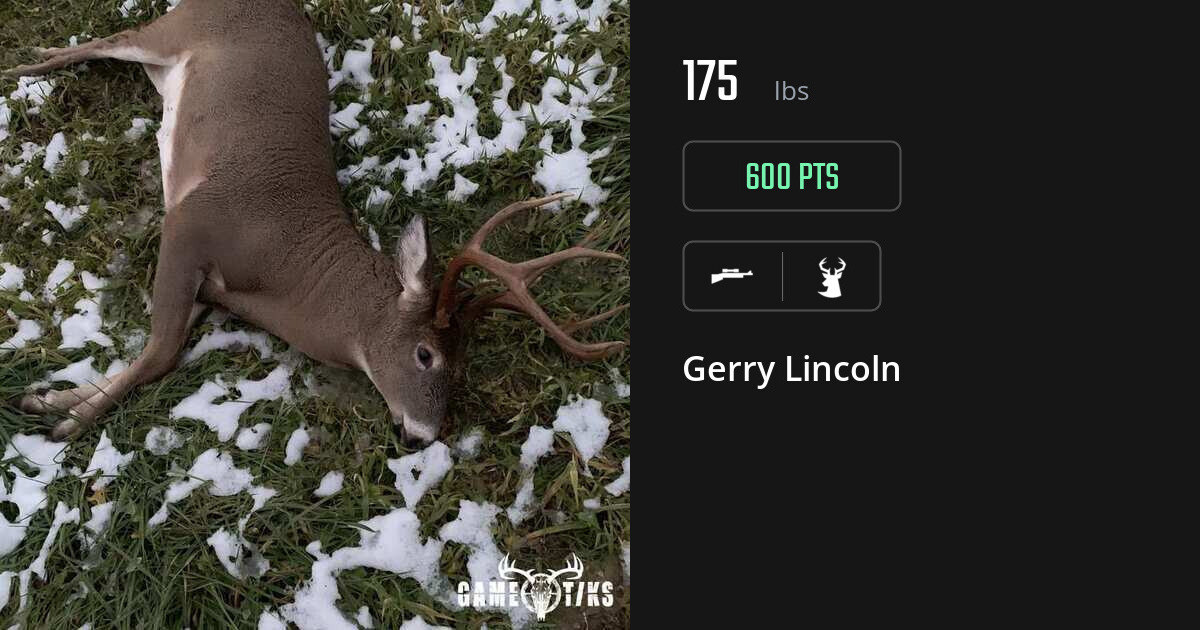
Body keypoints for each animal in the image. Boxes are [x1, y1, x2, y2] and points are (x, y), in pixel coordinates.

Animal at [2, 0, 626, 445]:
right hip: (179, 28)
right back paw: (23, 65)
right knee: (103, 40)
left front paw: (48, 400)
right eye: (426, 355)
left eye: (463, 363)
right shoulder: (191, 223)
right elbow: (160, 352)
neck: (289, 272)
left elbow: (154, 350)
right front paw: (67, 422)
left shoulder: (208, 287)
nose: (422, 436)